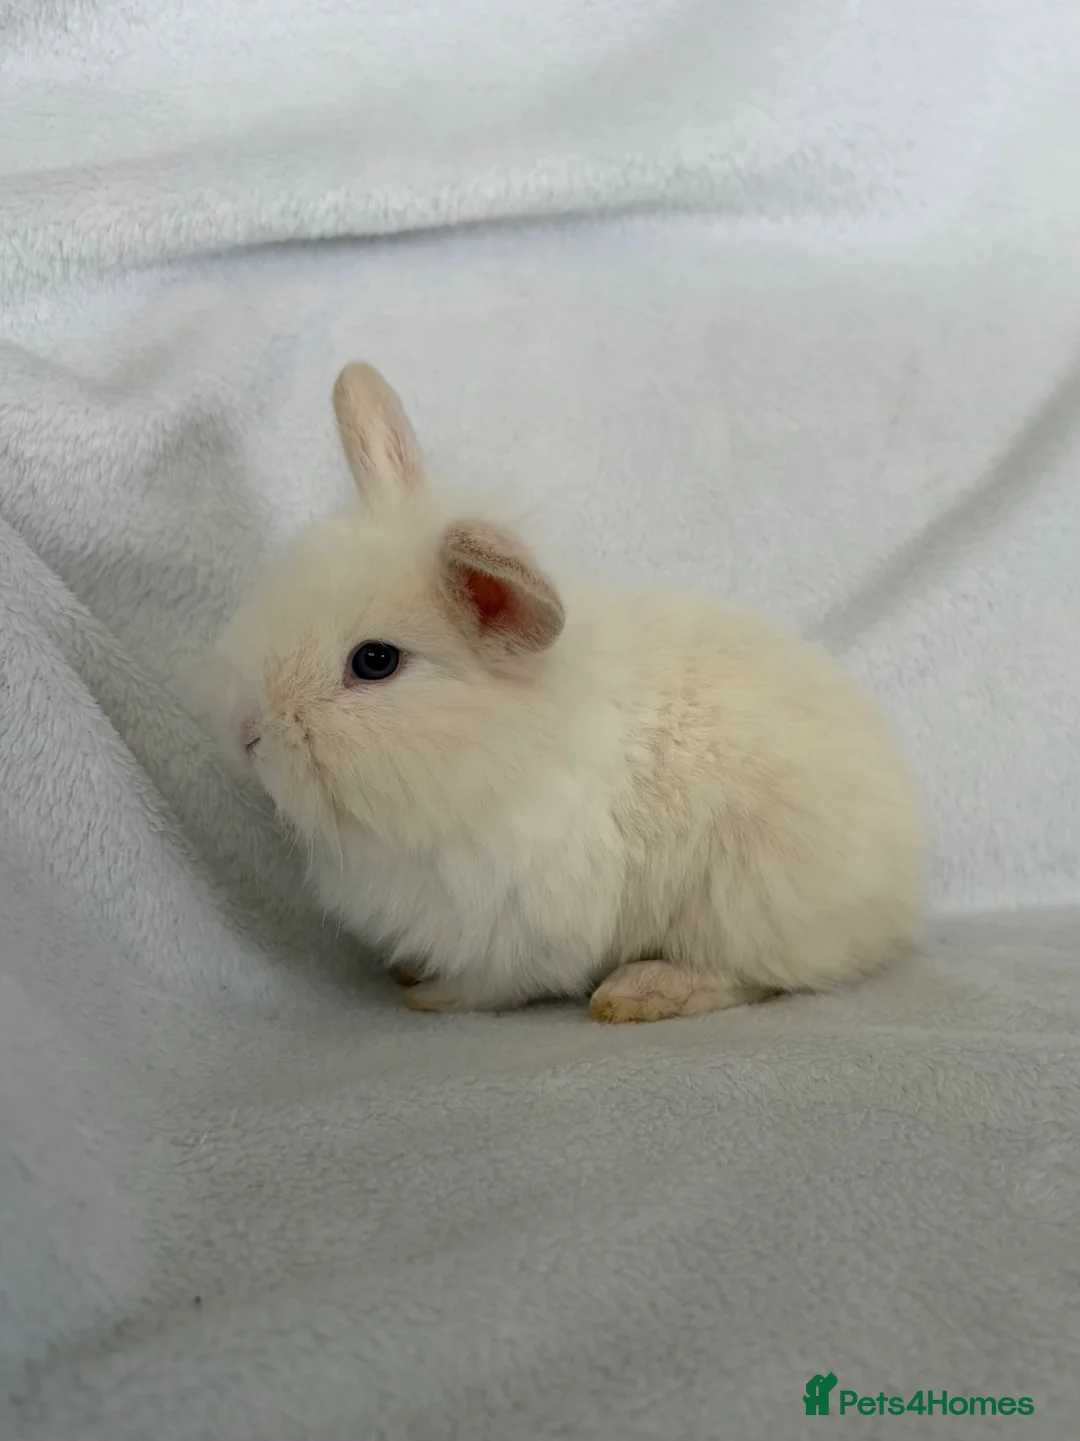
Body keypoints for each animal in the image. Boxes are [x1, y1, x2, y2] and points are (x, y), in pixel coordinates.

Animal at [207, 361, 927, 1023]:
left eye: (375, 661)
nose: (245, 733)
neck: (502, 754)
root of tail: (900, 887)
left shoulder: (515, 928)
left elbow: (488, 987)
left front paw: (428, 995)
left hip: (745, 903)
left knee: (750, 975)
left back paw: (639, 992)